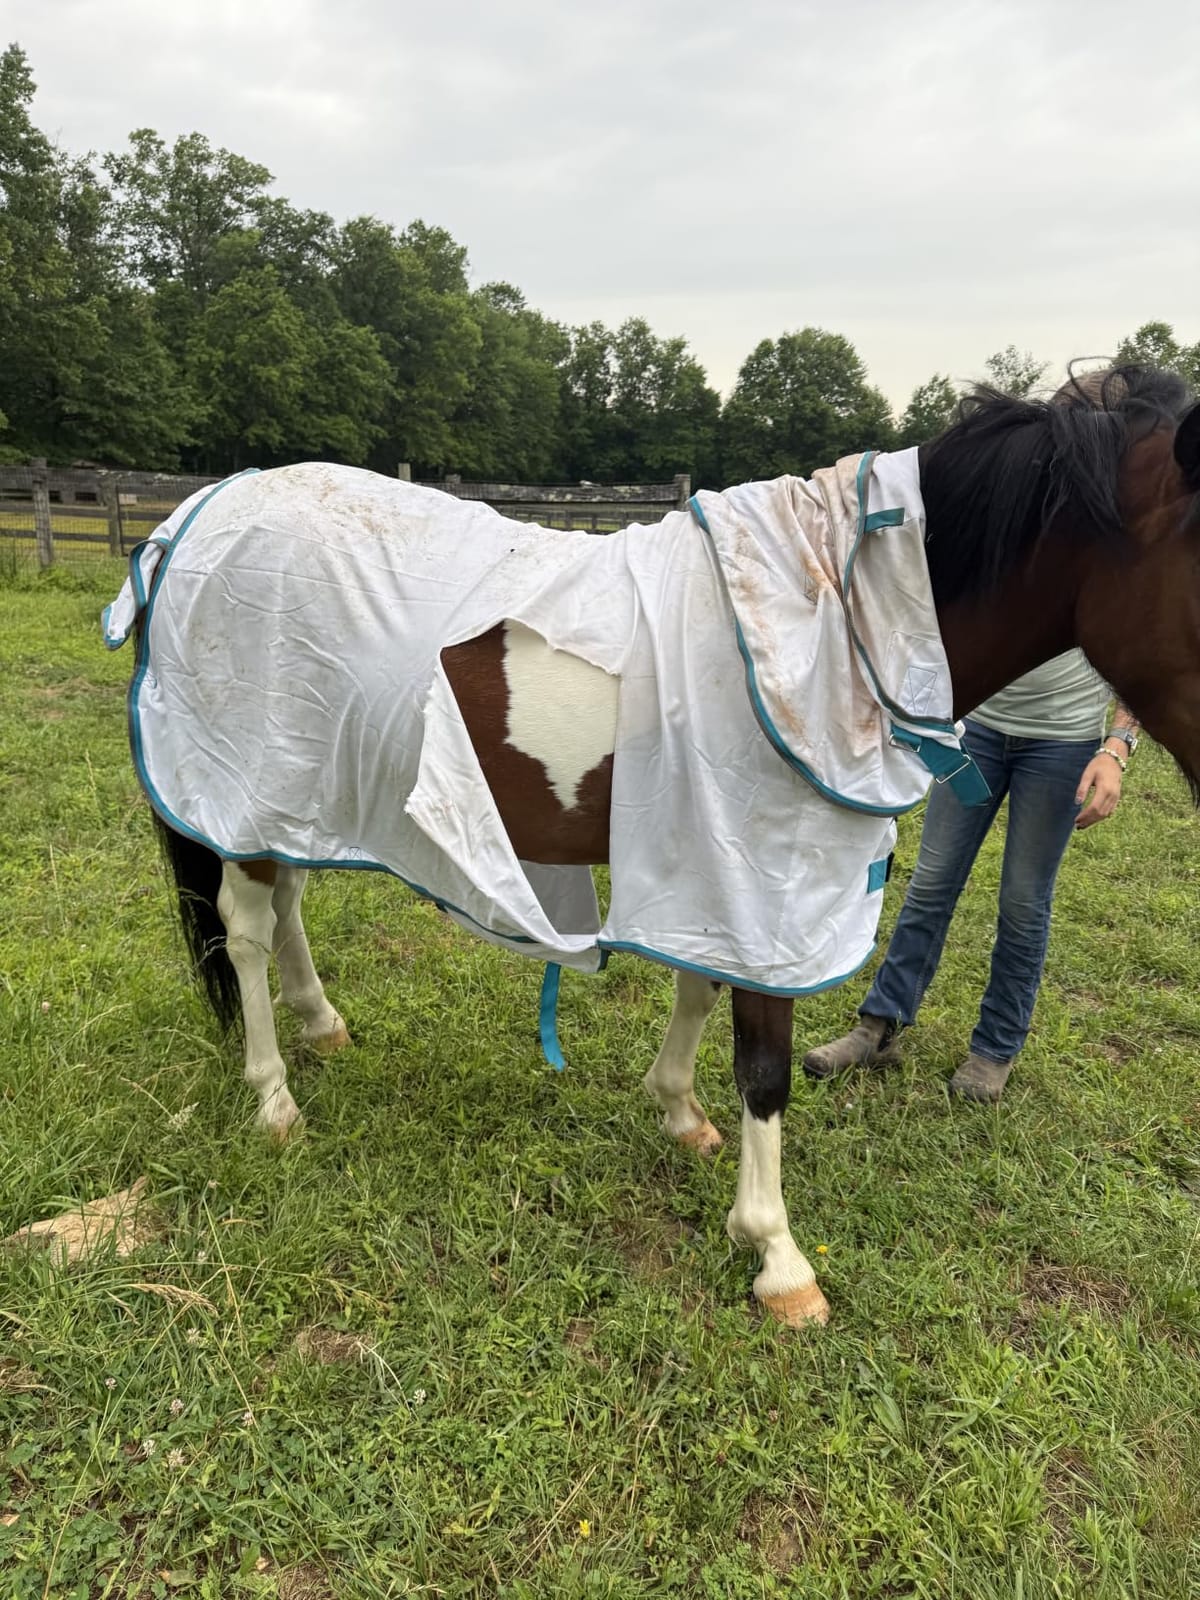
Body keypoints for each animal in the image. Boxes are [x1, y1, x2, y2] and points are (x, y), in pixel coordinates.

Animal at [109, 365, 1200, 1329]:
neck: (837, 623)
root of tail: (201, 512)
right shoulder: (766, 885)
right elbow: (765, 1066)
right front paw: (779, 1259)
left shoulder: (715, 866)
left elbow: (701, 988)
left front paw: (679, 1114)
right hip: (248, 775)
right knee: (247, 931)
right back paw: (274, 1099)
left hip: (295, 789)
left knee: (284, 903)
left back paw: (322, 1025)